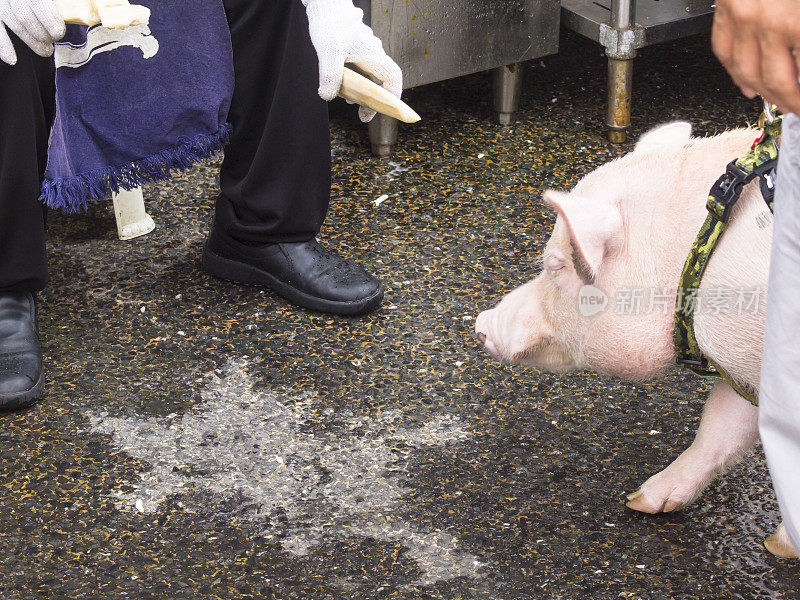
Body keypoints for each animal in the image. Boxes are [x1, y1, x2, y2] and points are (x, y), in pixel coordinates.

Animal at [476, 122, 792, 556]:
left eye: (555, 265)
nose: (480, 322)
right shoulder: (742, 365)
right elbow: (720, 430)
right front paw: (638, 503)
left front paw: (778, 547)